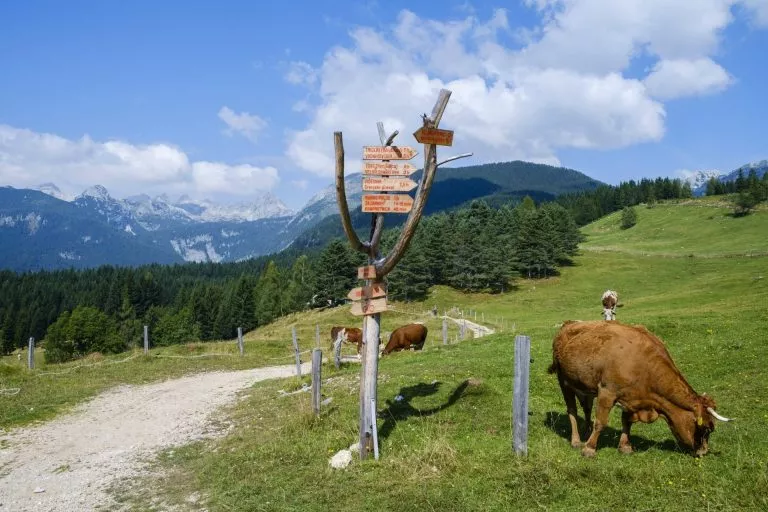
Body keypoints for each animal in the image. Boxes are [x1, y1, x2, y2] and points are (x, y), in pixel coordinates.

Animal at [548, 318, 728, 458]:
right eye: (706, 428)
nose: (703, 452)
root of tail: (569, 324)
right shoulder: (607, 391)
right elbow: (601, 422)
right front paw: (589, 449)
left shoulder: (631, 397)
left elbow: (627, 422)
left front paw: (625, 447)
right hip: (564, 381)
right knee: (572, 410)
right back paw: (576, 440)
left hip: (585, 386)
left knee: (586, 408)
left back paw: (586, 432)